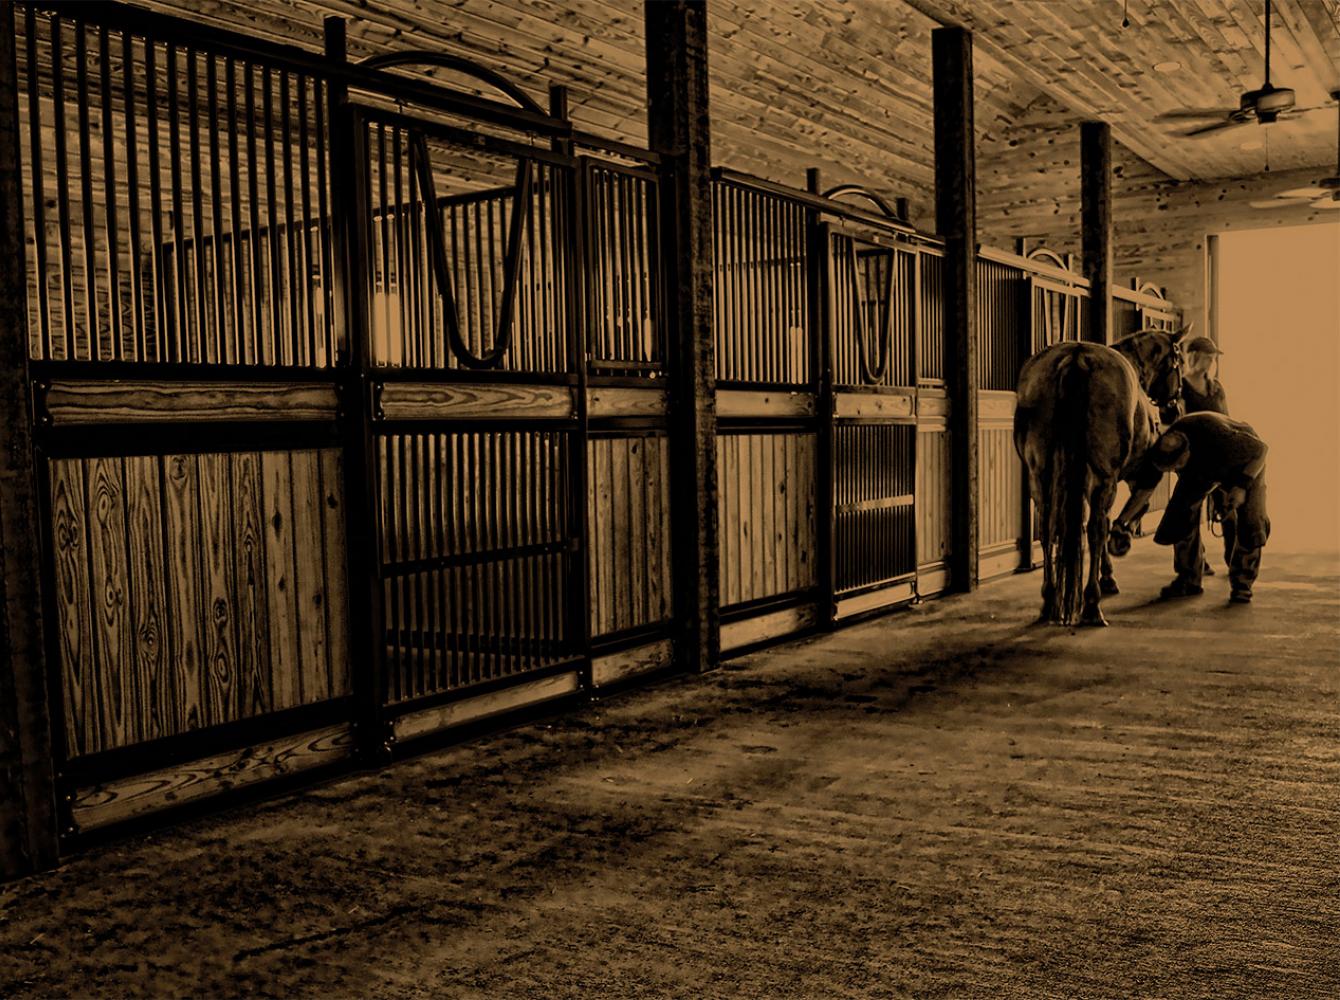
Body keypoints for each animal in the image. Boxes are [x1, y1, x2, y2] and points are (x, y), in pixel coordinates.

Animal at [1007, 327, 1189, 621]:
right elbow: (1126, 510)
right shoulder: (1137, 473)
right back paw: (1092, 604)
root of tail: (1075, 358)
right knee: (1095, 528)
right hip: (1104, 477)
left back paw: (1049, 600)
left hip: (1040, 475)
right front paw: (1117, 548)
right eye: (1178, 361)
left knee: (1048, 528)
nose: (1174, 410)